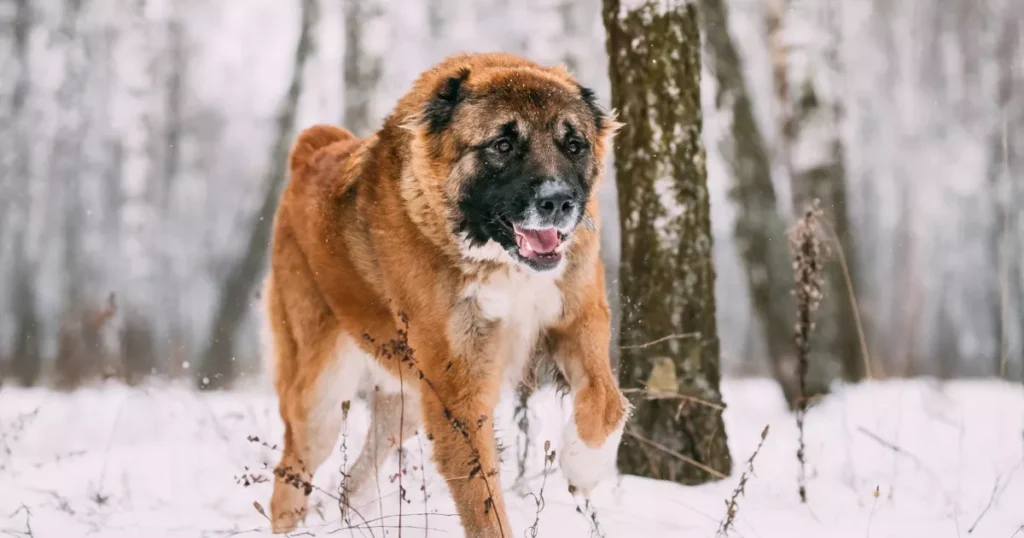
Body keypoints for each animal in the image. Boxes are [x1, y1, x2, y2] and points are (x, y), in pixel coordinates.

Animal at [264, 52, 626, 532]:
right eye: (502, 145)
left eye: (574, 144)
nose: (558, 202)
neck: (498, 258)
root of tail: (312, 151)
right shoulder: (458, 389)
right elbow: (483, 503)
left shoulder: (580, 316)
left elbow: (608, 402)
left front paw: (583, 465)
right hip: (321, 393)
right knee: (290, 476)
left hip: (407, 401)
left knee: (354, 481)